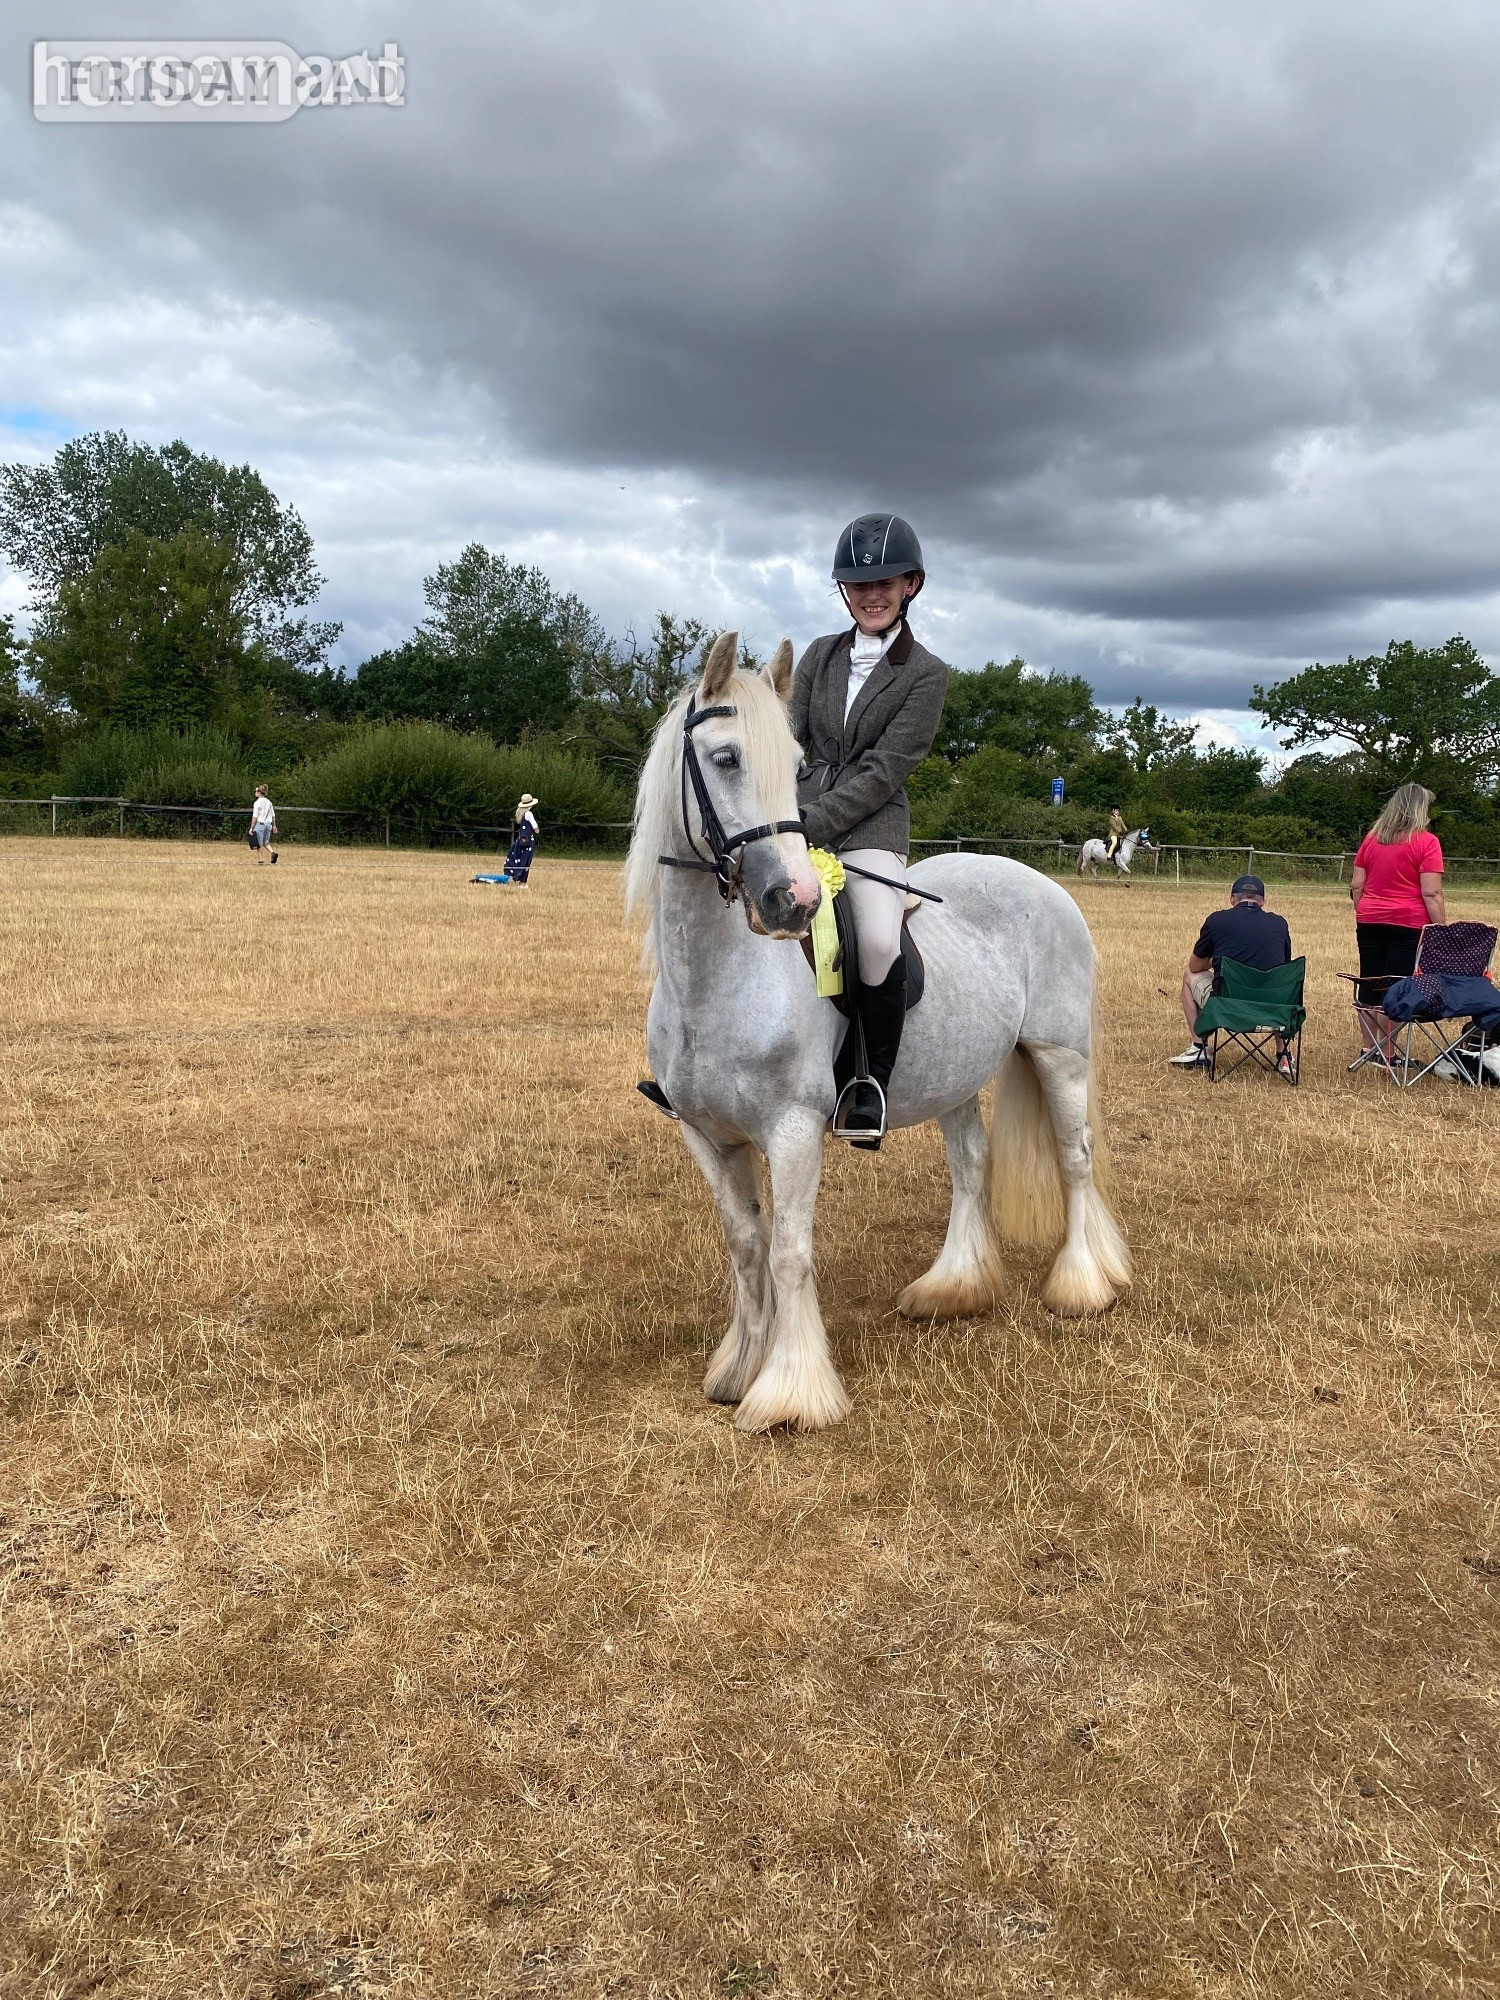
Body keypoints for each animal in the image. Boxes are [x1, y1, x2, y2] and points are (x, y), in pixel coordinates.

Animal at [624, 633, 1131, 1434]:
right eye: (726, 757)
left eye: (794, 762)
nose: (793, 900)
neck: (716, 980)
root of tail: (1040, 882)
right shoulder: (706, 1135)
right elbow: (745, 1245)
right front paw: (738, 1368)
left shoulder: (793, 1132)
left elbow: (790, 1251)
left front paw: (790, 1394)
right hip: (958, 1073)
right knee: (973, 1166)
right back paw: (952, 1289)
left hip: (1060, 1057)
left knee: (1076, 1161)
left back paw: (1081, 1287)